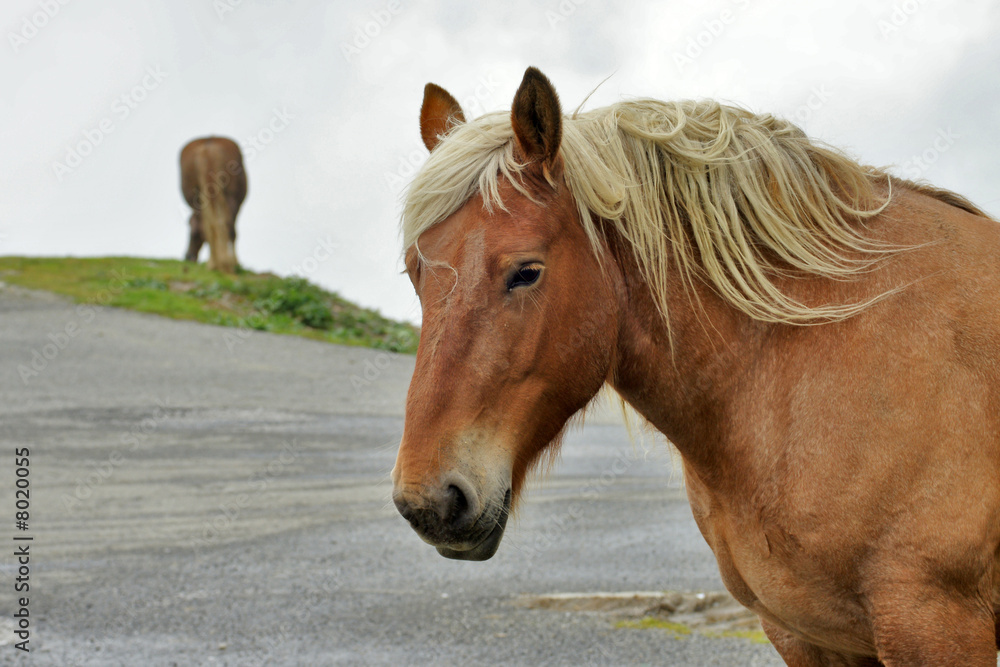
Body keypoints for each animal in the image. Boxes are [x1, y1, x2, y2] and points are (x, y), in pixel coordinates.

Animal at [180, 136, 247, 273]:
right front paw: (234, 263)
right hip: (230, 198)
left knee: (210, 223)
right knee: (226, 225)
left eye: (193, 234)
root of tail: (208, 145)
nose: (188, 256)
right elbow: (232, 231)